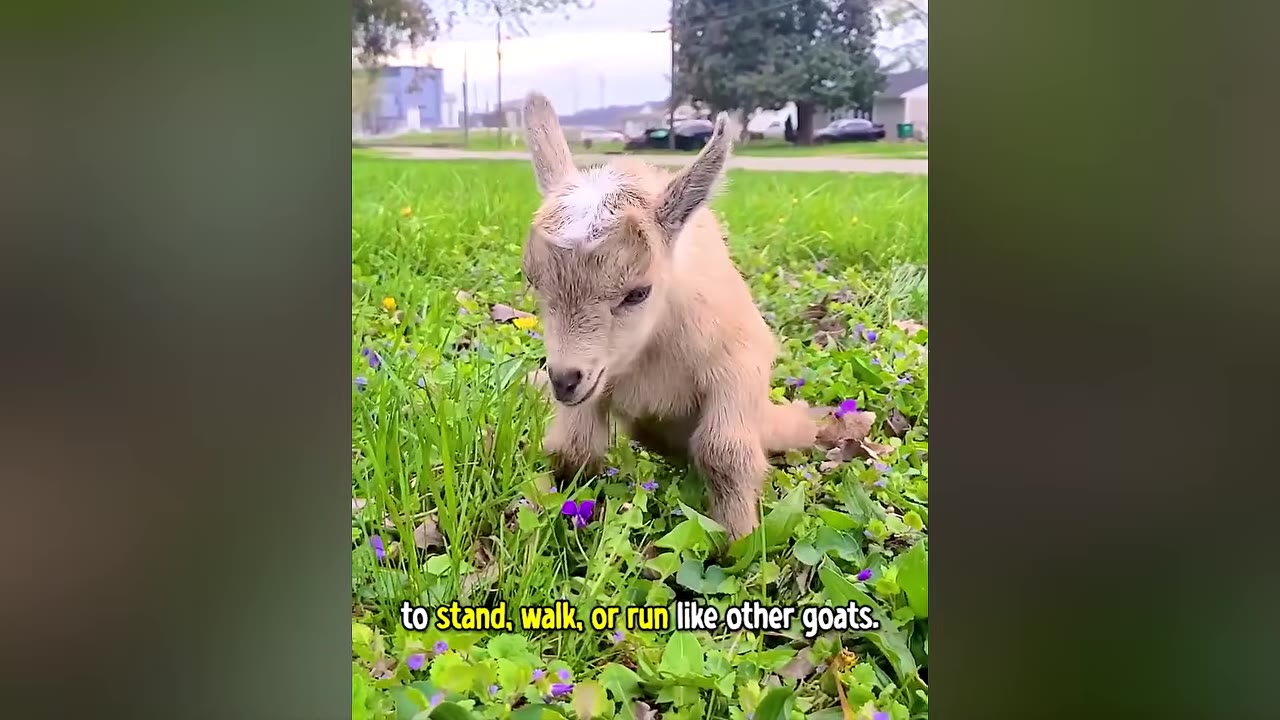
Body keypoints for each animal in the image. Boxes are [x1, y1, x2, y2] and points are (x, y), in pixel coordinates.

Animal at [519, 91, 818, 540]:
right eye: (533, 281)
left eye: (638, 293)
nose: (565, 380)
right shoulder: (596, 384)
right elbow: (573, 449)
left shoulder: (740, 363)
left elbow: (724, 452)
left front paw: (739, 541)